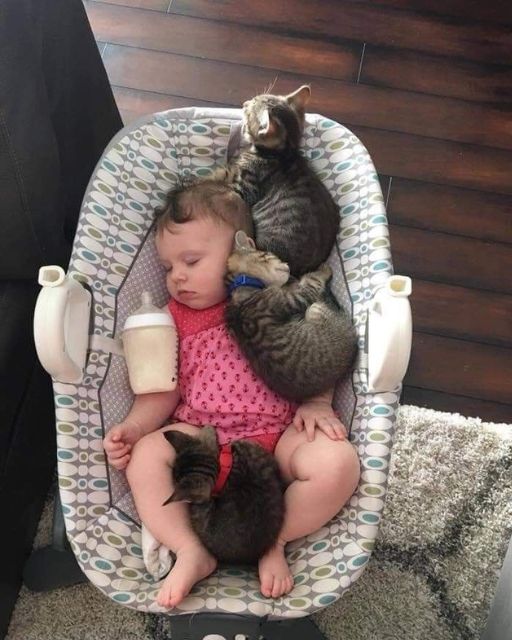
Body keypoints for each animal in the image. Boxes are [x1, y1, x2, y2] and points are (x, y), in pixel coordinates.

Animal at [220, 85, 340, 277]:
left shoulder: (245, 187)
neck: (282, 153)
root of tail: (302, 270)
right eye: (253, 100)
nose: (244, 103)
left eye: (249, 109)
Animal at [225, 231, 358, 402]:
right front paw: (323, 269)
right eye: (268, 255)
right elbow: (312, 281)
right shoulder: (291, 299)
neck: (242, 286)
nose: (287, 265)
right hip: (315, 309)